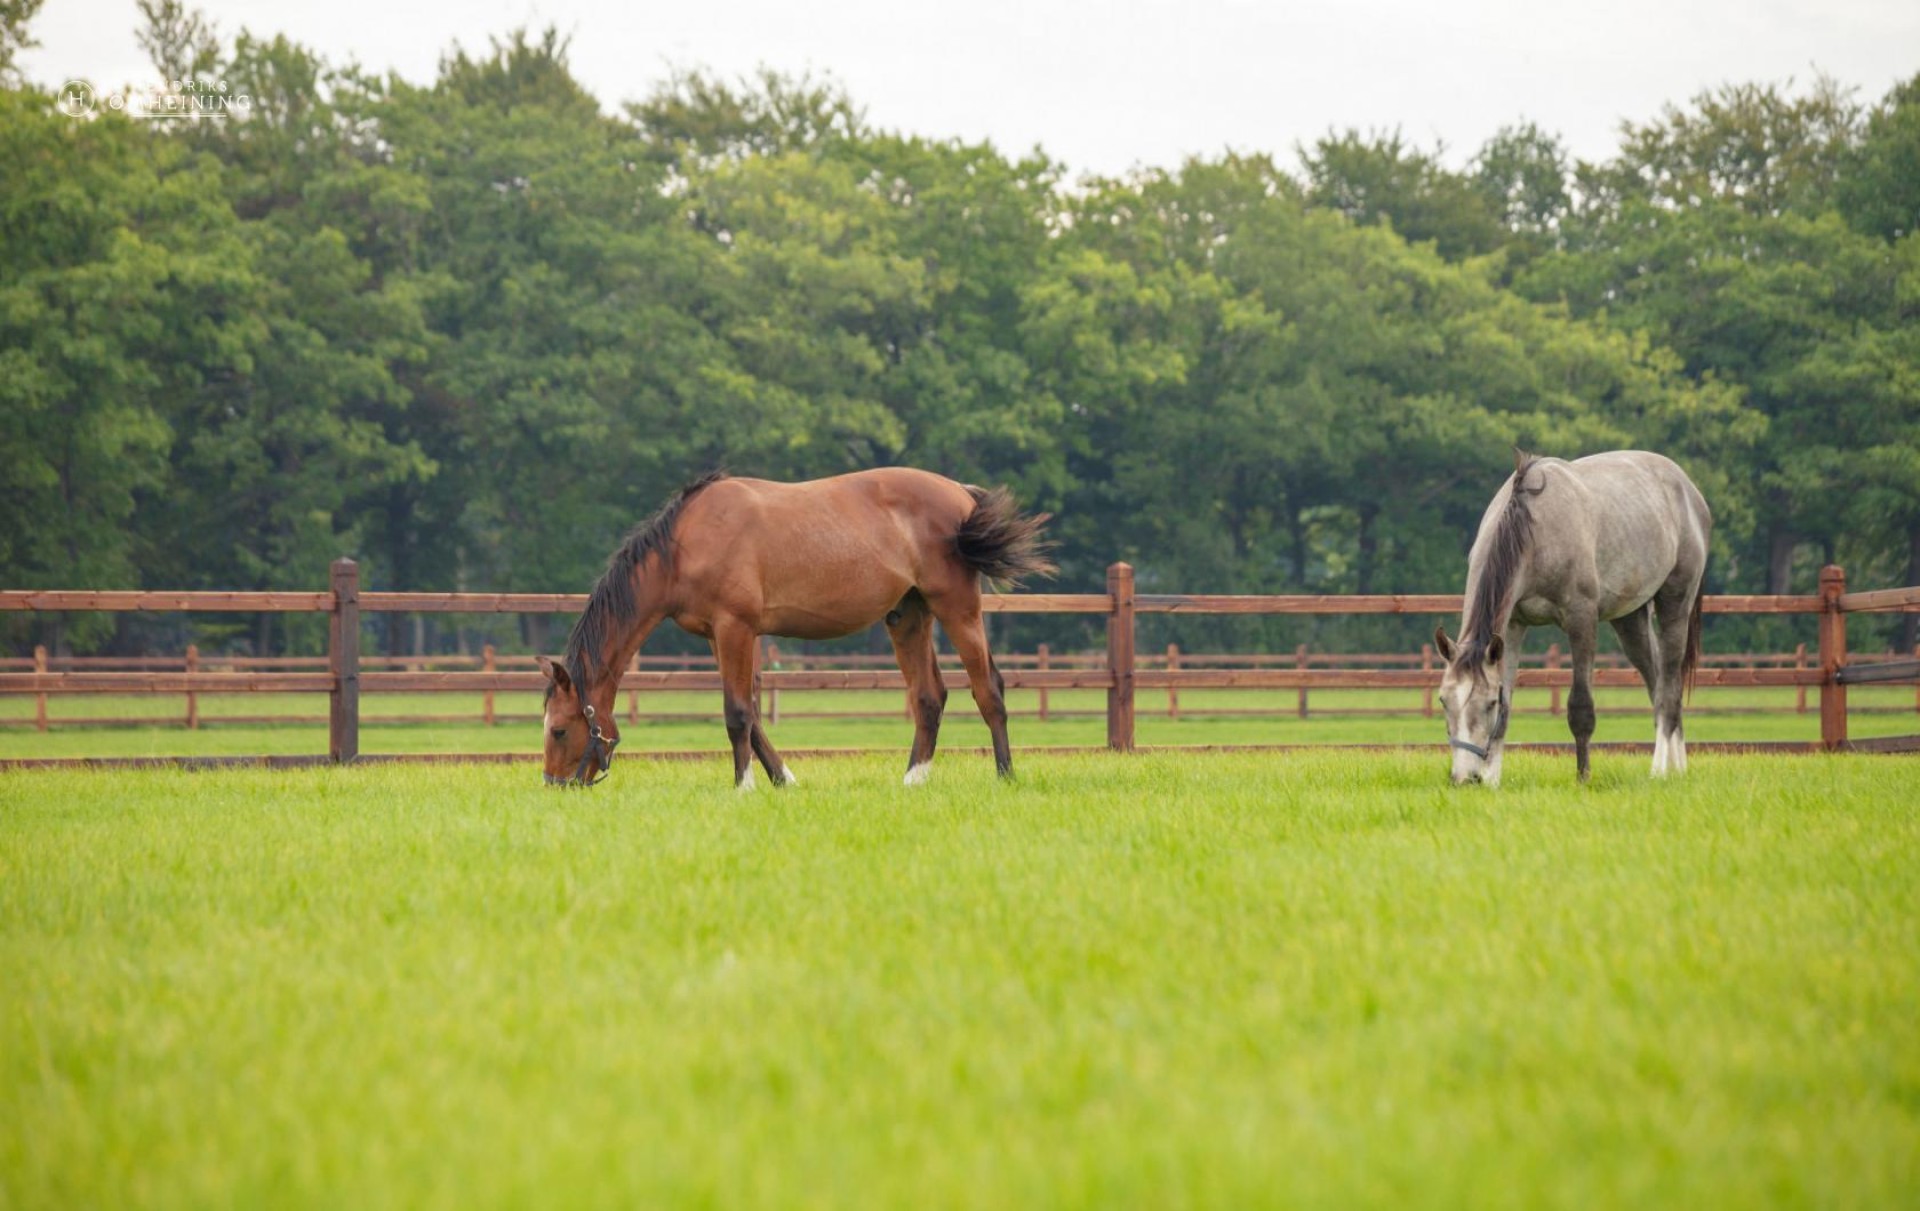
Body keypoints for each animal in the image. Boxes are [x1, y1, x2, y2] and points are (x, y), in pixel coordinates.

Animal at [537, 468, 1055, 789]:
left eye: (559, 730)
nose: (554, 786)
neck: (686, 543)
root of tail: (961, 493)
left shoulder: (736, 628)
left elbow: (737, 713)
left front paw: (743, 787)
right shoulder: (718, 637)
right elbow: (753, 714)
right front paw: (783, 779)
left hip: (957, 607)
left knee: (988, 689)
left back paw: (1005, 776)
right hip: (908, 615)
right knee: (929, 697)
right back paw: (913, 780)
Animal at [1433, 449, 1712, 786]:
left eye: (1488, 703)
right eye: (1443, 700)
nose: (1464, 777)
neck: (1532, 531)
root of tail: (1688, 488)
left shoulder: (1581, 619)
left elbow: (1580, 708)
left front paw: (1583, 778)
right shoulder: (1512, 626)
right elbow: (1508, 708)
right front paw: (1493, 782)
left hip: (1675, 605)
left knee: (1668, 691)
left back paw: (1658, 771)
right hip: (1630, 621)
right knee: (1657, 682)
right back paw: (1677, 768)